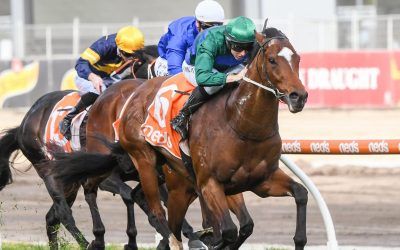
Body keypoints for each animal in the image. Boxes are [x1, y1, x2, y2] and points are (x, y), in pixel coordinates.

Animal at [0, 45, 196, 250]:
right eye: (163, 66)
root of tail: (24, 123)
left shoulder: (151, 170)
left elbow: (158, 198)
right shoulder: (106, 176)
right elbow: (129, 196)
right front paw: (131, 240)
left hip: (70, 183)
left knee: (52, 218)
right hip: (49, 172)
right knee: (63, 213)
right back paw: (87, 242)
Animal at [50, 24, 310, 248]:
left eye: (297, 59)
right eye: (272, 60)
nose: (298, 96)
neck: (242, 125)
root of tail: (132, 96)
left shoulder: (260, 180)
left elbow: (299, 195)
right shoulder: (210, 183)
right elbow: (227, 231)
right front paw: (208, 238)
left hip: (172, 183)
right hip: (144, 162)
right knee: (150, 211)